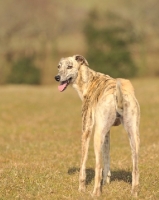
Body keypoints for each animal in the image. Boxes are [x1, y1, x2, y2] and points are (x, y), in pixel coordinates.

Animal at [55, 54, 140, 197]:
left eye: (70, 66)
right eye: (59, 66)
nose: (56, 77)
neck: (88, 79)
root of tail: (117, 94)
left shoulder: (86, 129)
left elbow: (83, 165)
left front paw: (81, 189)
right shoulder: (106, 133)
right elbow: (107, 160)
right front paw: (106, 184)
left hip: (96, 136)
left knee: (98, 166)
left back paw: (95, 193)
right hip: (133, 136)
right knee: (135, 168)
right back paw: (134, 192)